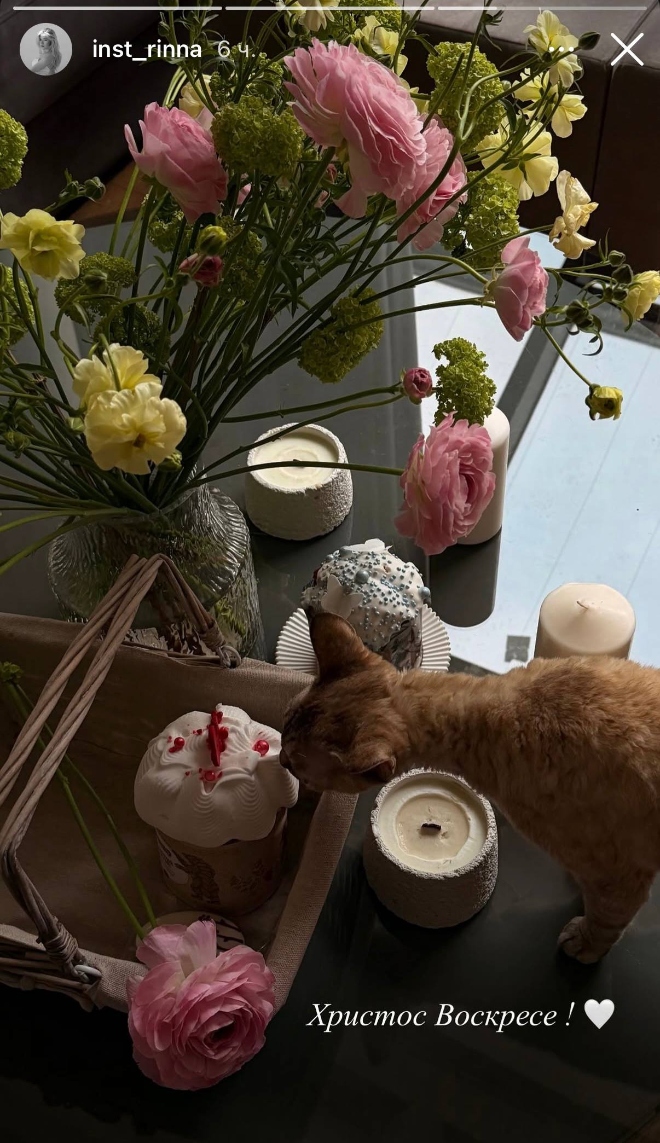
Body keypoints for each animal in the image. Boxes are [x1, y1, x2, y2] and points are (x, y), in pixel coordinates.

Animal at [280, 612, 660, 963]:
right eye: (283, 728)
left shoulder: (617, 874)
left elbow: (608, 917)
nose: (281, 760)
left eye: (299, 767)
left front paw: (585, 943)